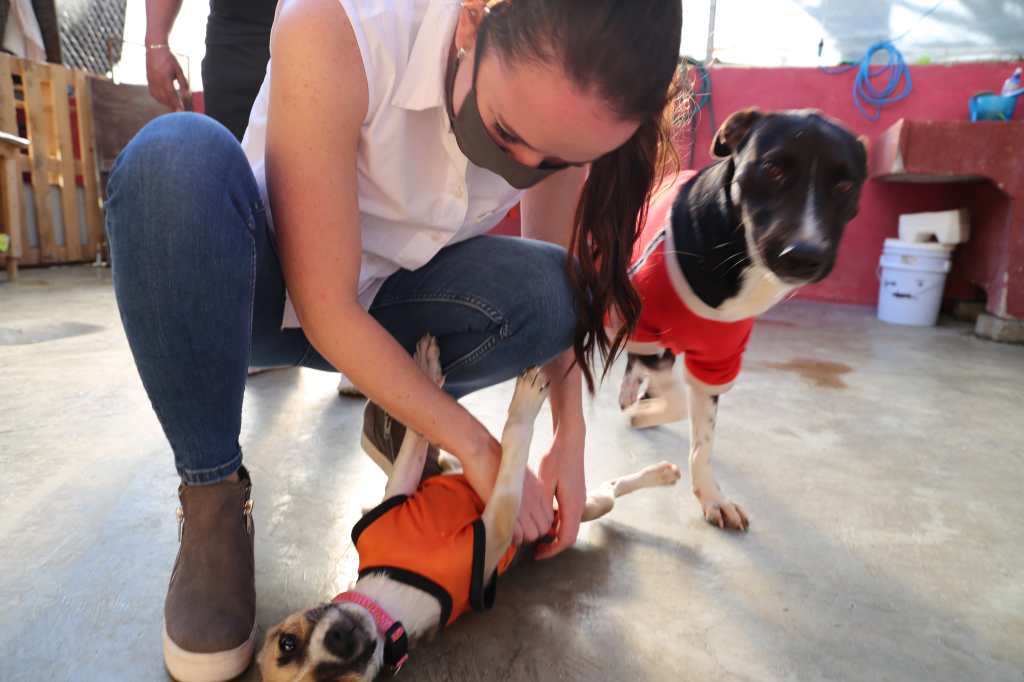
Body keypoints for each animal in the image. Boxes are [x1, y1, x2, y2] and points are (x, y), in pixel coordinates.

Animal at [260, 335, 684, 679]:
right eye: (338, 679)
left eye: (287, 642)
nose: (341, 640)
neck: (390, 594)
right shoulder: (495, 530)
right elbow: (513, 448)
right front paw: (524, 404)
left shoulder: (398, 490)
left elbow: (416, 436)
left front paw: (426, 368)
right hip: (581, 510)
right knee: (609, 489)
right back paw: (662, 474)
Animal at [610, 107, 868, 532]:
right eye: (773, 169)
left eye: (845, 185)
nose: (804, 255)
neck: (736, 253)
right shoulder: (645, 329)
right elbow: (677, 400)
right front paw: (643, 414)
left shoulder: (718, 359)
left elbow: (702, 441)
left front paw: (712, 497)